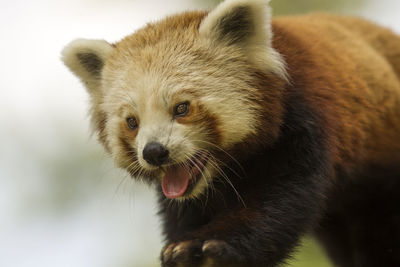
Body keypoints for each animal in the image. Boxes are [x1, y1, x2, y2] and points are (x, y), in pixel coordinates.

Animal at [61, 0, 400, 266]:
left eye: (181, 108)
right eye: (132, 122)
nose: (154, 152)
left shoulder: (305, 124)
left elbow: (279, 202)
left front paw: (212, 247)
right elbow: (181, 211)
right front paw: (181, 247)